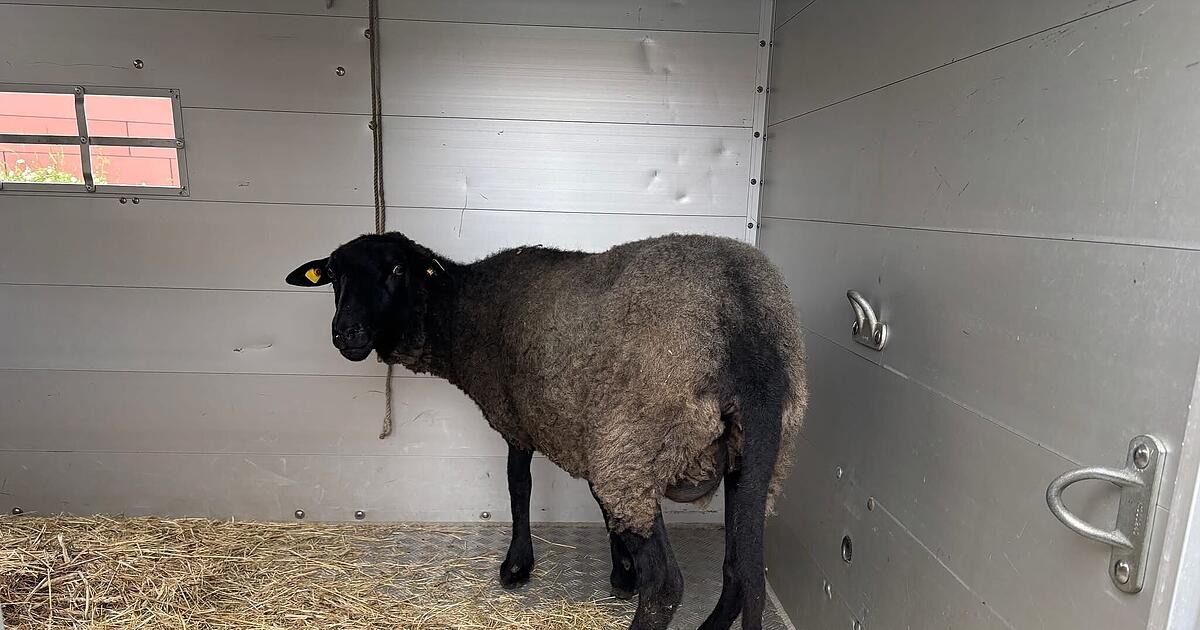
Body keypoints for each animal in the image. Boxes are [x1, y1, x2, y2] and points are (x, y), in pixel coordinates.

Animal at [286, 232, 807, 630]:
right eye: (333, 275)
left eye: (396, 270)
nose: (346, 333)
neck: (463, 311)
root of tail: (745, 325)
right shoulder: (588, 431)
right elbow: (601, 506)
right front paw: (621, 572)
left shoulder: (523, 419)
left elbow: (520, 485)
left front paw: (517, 565)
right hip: (752, 458)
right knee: (740, 569)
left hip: (638, 445)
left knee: (667, 585)